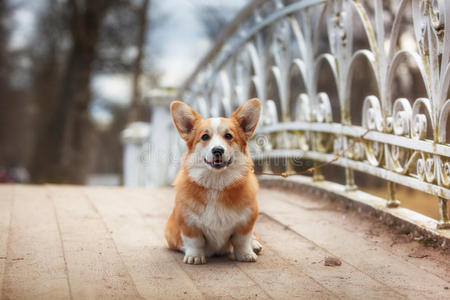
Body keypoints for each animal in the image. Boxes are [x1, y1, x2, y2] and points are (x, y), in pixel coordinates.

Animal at [165, 98, 262, 264]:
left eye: (228, 136)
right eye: (205, 137)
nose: (217, 150)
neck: (216, 184)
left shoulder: (247, 221)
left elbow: (242, 240)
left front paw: (245, 254)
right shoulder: (188, 223)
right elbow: (195, 241)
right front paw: (194, 256)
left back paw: (254, 244)